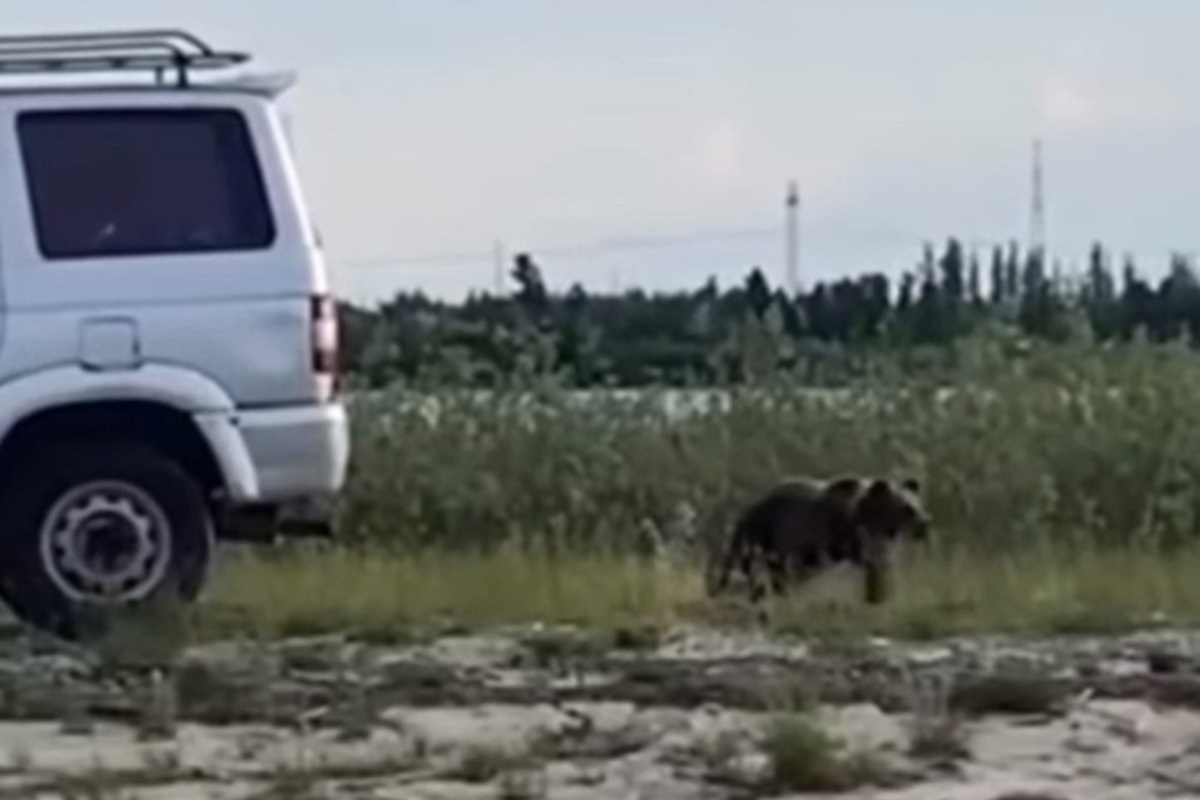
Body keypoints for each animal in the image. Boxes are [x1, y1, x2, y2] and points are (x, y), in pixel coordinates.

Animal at [705, 479, 931, 604]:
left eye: (917, 503)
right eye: (907, 508)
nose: (924, 523)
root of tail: (751, 506)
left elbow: (878, 570)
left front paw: (878, 595)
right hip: (765, 535)